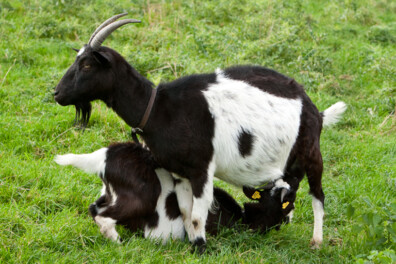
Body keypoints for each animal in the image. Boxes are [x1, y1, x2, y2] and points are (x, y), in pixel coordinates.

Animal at [53, 13, 346, 252]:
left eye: (87, 65)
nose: (56, 93)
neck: (157, 108)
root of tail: (315, 110)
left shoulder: (203, 168)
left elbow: (197, 214)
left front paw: (202, 247)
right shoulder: (180, 173)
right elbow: (186, 211)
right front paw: (195, 243)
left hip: (312, 152)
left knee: (318, 195)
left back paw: (316, 242)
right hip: (288, 165)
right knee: (291, 190)